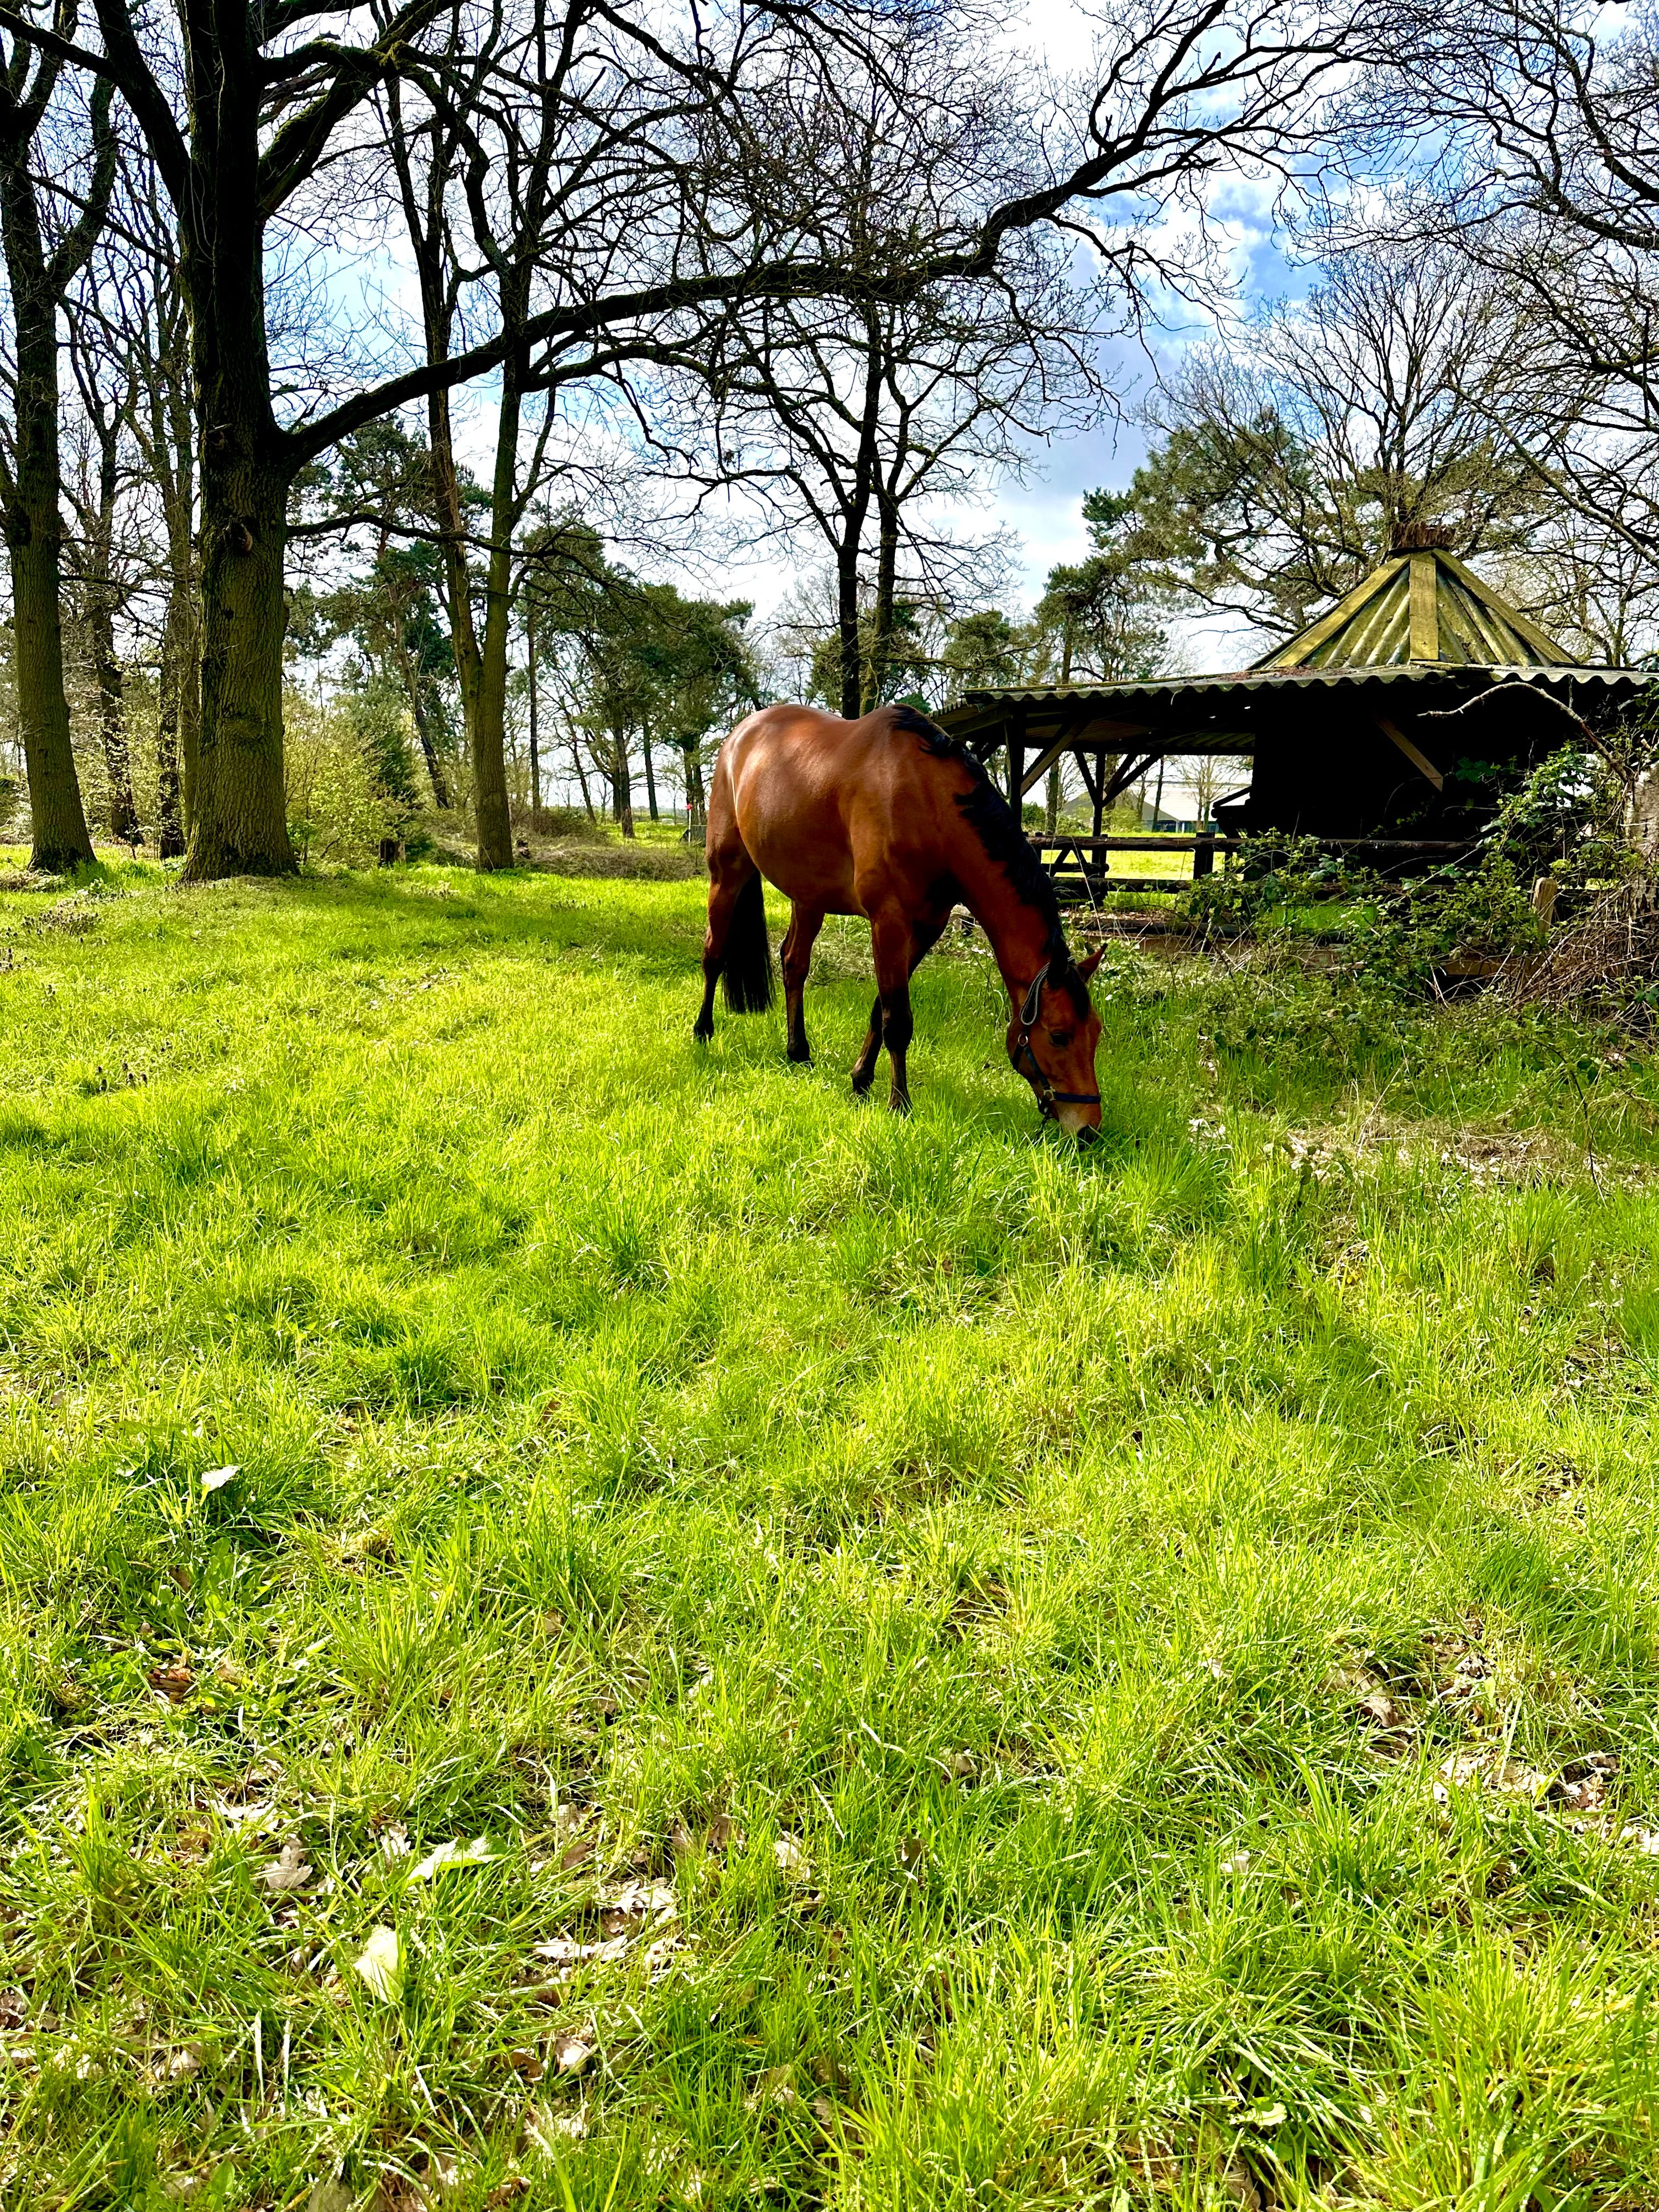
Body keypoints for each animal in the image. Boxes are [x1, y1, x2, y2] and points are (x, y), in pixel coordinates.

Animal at [694, 700, 1105, 1135]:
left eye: (1095, 1033)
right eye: (1059, 1036)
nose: (1088, 1129)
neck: (927, 802)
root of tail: (738, 738)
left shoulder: (925, 929)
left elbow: (881, 1008)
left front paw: (860, 1080)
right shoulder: (888, 922)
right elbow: (898, 1020)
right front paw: (899, 1103)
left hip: (808, 897)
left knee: (793, 964)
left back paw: (798, 1051)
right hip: (727, 874)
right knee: (714, 954)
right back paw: (703, 1032)